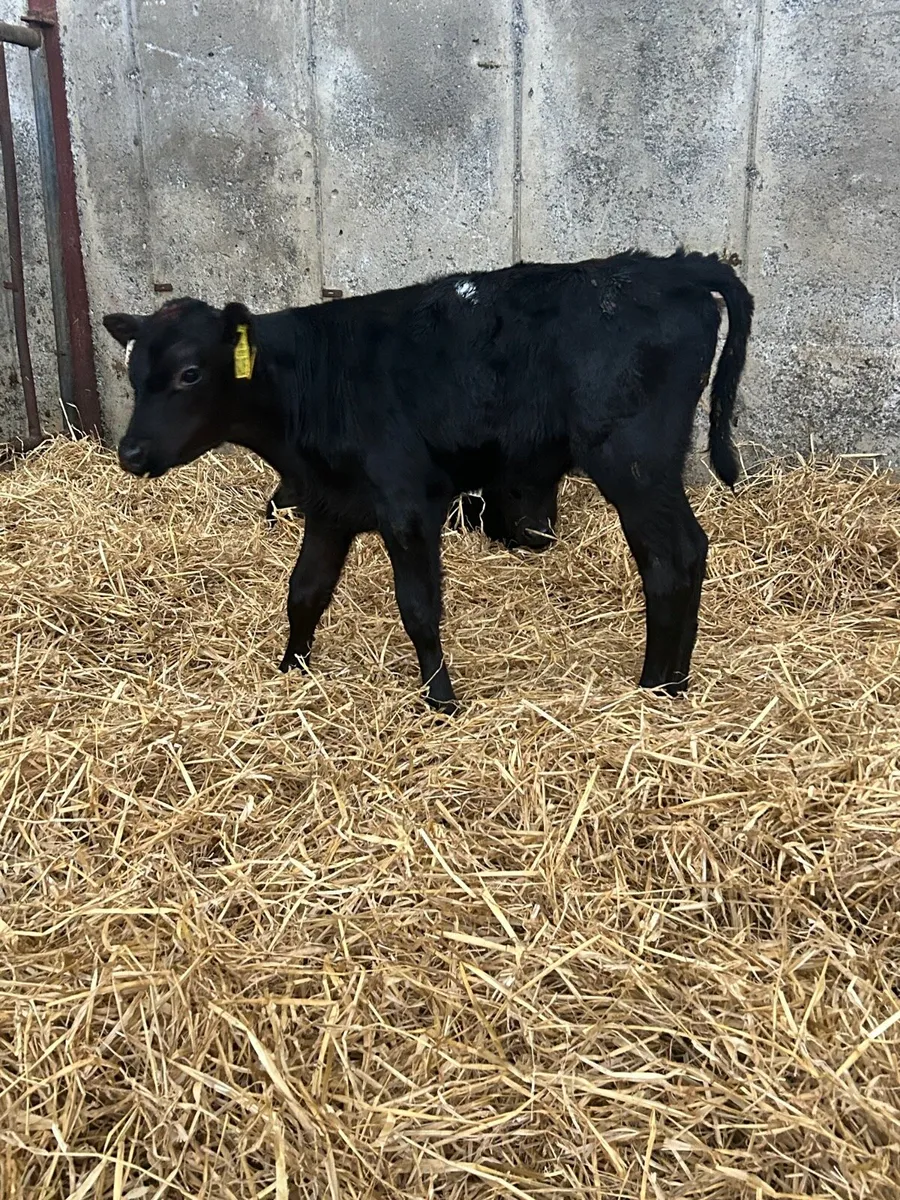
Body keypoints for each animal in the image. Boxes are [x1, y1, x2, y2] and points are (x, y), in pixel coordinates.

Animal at [103, 249, 753, 714]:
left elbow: (417, 607)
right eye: (133, 372)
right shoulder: (329, 506)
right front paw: (291, 671)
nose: (130, 452)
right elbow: (304, 593)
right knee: (690, 553)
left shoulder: (407, 506)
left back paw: (655, 688)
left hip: (635, 461)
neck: (316, 383)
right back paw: (676, 682)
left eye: (190, 373)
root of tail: (674, 267)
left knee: (671, 558)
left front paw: (440, 701)